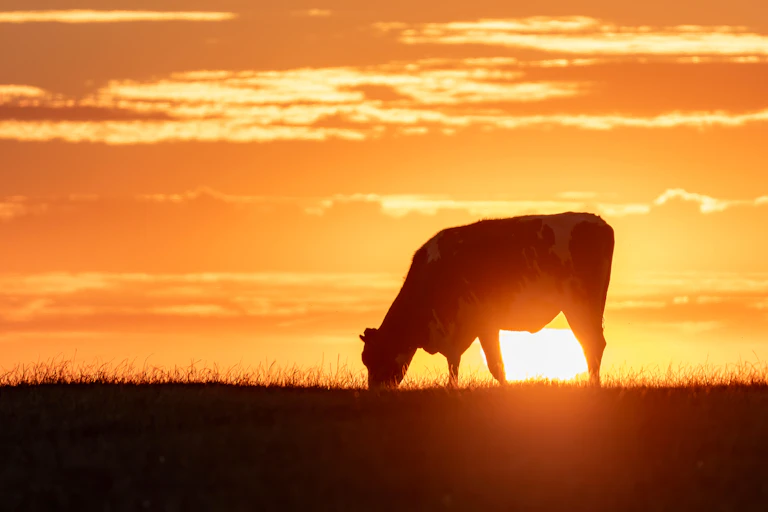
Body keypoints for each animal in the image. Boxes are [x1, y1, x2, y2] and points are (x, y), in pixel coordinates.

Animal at [360, 212, 615, 389]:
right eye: (365, 360)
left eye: (373, 358)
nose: (375, 391)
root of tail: (598, 222)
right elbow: (457, 362)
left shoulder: (480, 323)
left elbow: (494, 365)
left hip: (579, 305)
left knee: (591, 343)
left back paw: (593, 385)